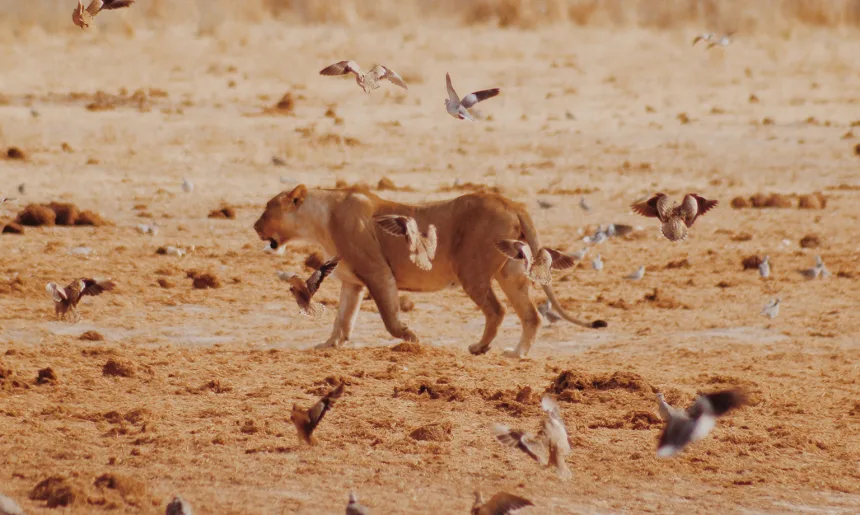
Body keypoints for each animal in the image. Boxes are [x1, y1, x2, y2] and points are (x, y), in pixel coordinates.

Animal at [253, 185, 606, 358]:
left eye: (267, 209)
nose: (255, 226)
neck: (319, 221)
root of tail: (511, 203)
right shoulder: (352, 283)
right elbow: (343, 318)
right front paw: (329, 344)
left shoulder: (377, 272)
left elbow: (389, 318)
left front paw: (411, 338)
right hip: (512, 273)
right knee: (531, 315)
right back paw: (516, 354)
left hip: (472, 270)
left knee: (497, 310)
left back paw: (480, 348)